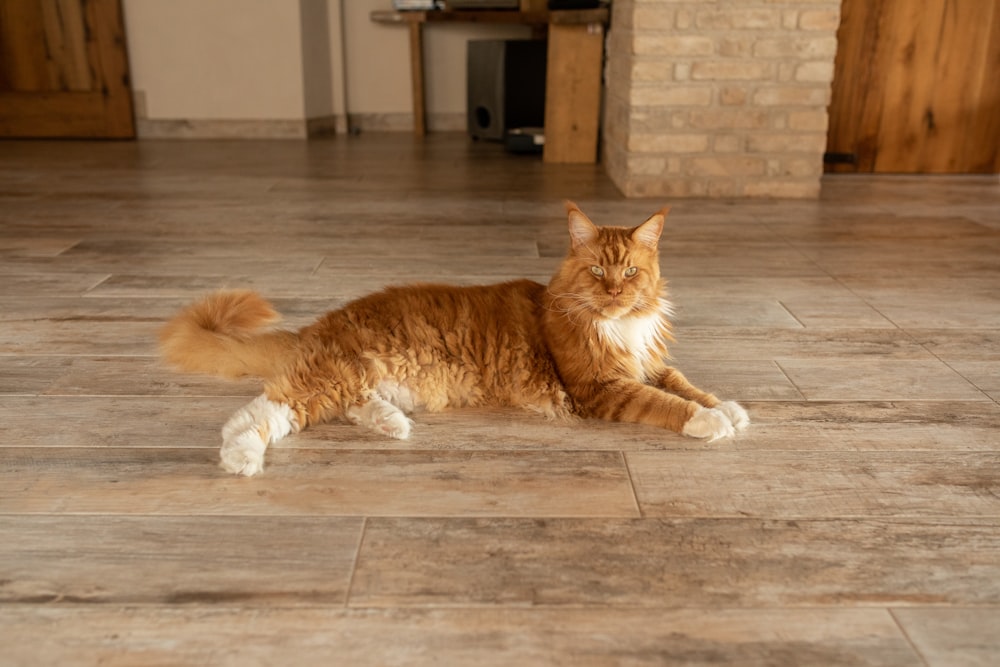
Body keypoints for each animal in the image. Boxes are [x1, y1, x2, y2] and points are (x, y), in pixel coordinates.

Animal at [160, 202, 748, 474]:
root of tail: (318, 325)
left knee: (348, 407)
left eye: (630, 273)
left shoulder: (648, 361)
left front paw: (729, 407)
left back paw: (391, 424)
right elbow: (665, 403)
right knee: (258, 413)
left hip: (353, 381)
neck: (617, 325)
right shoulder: (602, 387)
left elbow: (684, 382)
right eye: (599, 272)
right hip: (330, 377)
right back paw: (240, 458)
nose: (615, 295)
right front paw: (710, 422)